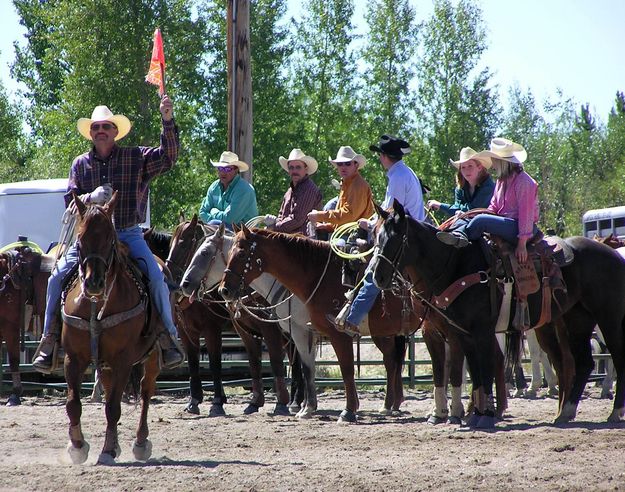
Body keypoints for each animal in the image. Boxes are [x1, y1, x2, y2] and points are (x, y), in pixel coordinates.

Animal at [62, 193, 161, 466]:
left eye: (109, 238)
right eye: (81, 238)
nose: (94, 283)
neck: (96, 305)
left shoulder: (123, 360)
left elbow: (113, 407)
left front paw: (106, 451)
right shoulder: (73, 357)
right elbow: (73, 403)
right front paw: (77, 446)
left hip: (152, 355)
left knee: (146, 391)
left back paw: (140, 442)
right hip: (105, 364)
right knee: (108, 390)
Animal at [372, 200, 624, 426]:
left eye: (395, 238)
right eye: (376, 238)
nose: (377, 277)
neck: (455, 265)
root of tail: (615, 255)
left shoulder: (478, 331)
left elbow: (481, 370)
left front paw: (480, 415)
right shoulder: (462, 333)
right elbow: (473, 372)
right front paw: (473, 414)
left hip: (608, 319)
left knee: (613, 358)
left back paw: (614, 412)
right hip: (575, 321)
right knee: (581, 363)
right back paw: (565, 412)